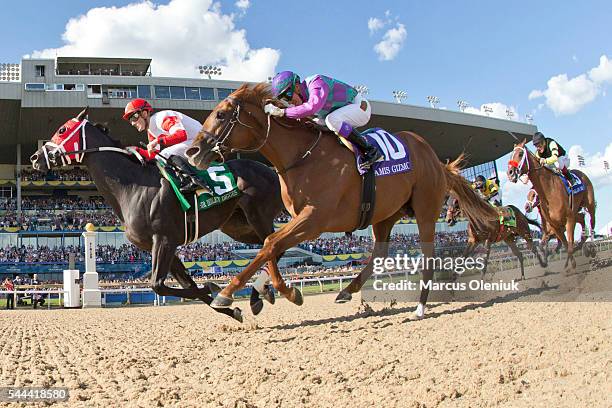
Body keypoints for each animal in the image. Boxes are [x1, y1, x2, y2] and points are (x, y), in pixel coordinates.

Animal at [29, 107, 284, 322]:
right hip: (238, 227)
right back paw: (262, 292)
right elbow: (186, 285)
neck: (134, 187)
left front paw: (214, 289)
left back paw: (261, 292)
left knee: (274, 246)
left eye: (62, 130)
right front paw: (223, 302)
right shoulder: (163, 246)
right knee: (271, 247)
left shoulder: (164, 240)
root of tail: (273, 171)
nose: (34, 158)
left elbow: (158, 284)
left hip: (258, 216)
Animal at [188, 83, 498, 318]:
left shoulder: (315, 218)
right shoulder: (302, 220)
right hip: (386, 214)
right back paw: (347, 290)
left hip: (425, 210)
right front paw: (279, 291)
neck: (302, 156)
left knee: (428, 256)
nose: (194, 151)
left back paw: (420, 307)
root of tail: (434, 159)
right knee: (379, 254)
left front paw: (228, 292)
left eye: (221, 114)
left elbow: (270, 244)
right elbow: (270, 247)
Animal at [506, 140, 596, 270]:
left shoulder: (568, 220)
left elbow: (568, 245)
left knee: (592, 223)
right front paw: (566, 263)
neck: (549, 191)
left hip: (590, 205)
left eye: (520, 154)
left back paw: (592, 248)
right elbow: (563, 245)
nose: (510, 173)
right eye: (510, 155)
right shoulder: (555, 226)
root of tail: (581, 173)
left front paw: (570, 266)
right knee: (581, 218)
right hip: (575, 211)